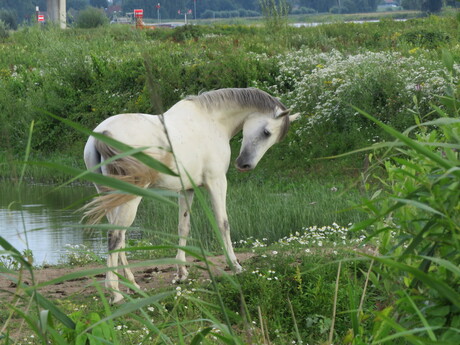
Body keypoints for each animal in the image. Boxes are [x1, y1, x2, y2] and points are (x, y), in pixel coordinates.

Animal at [83, 87, 300, 302]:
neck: (211, 120)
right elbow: (223, 223)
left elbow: (183, 227)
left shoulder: (187, 189)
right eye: (266, 132)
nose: (245, 165)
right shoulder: (217, 181)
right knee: (116, 235)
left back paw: (132, 285)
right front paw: (235, 265)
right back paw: (115, 292)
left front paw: (181, 274)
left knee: (119, 235)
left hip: (109, 195)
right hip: (130, 196)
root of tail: (103, 133)